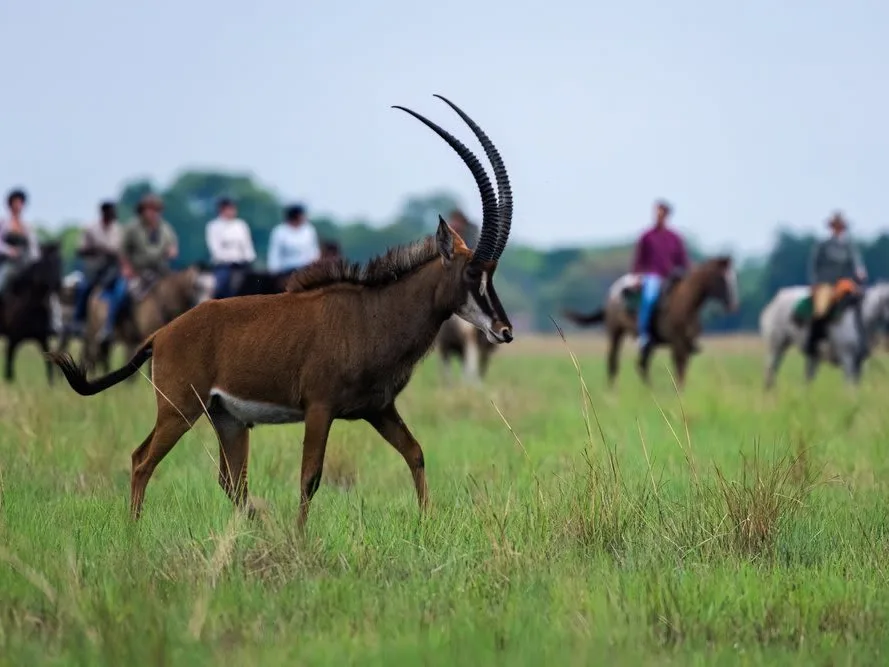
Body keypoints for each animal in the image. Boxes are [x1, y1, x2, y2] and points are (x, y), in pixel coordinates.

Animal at [48, 94, 515, 529]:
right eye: (472, 272)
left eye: (492, 271)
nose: (504, 331)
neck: (375, 313)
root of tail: (161, 334)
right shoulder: (320, 408)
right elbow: (310, 476)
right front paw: (301, 538)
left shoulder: (377, 409)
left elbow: (416, 453)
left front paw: (425, 523)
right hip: (179, 409)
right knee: (142, 460)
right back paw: (135, 533)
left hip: (227, 419)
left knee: (231, 481)